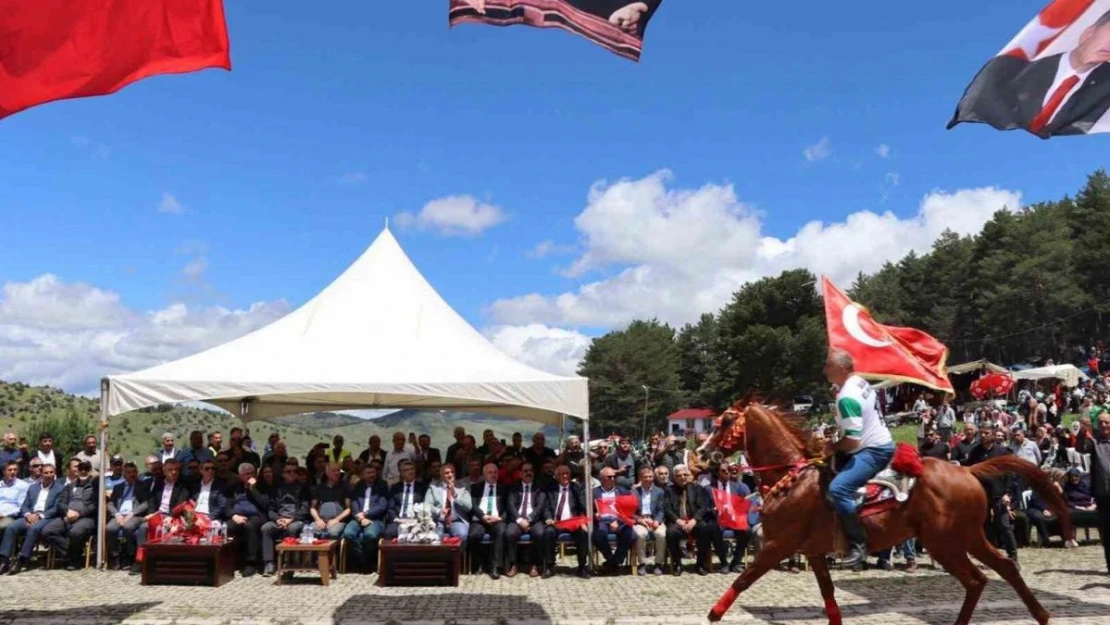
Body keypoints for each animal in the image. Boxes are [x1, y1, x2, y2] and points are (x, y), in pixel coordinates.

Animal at [697, 401, 1070, 625]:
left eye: (725, 421)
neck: (793, 476)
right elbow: (829, 595)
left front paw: (714, 614)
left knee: (977, 579)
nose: (701, 452)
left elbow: (744, 579)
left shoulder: (780, 545)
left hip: (945, 543)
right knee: (1001, 569)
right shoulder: (814, 552)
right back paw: (1041, 614)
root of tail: (967, 470)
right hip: (968, 537)